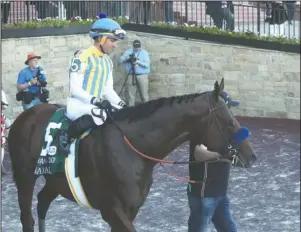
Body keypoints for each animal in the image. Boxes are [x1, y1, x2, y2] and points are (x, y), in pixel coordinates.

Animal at [7, 79, 255, 231]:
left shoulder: (130, 209)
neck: (134, 148)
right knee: (27, 216)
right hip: (25, 177)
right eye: (229, 121)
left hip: (55, 181)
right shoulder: (113, 210)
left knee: (42, 202)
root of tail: (25, 115)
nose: (251, 156)